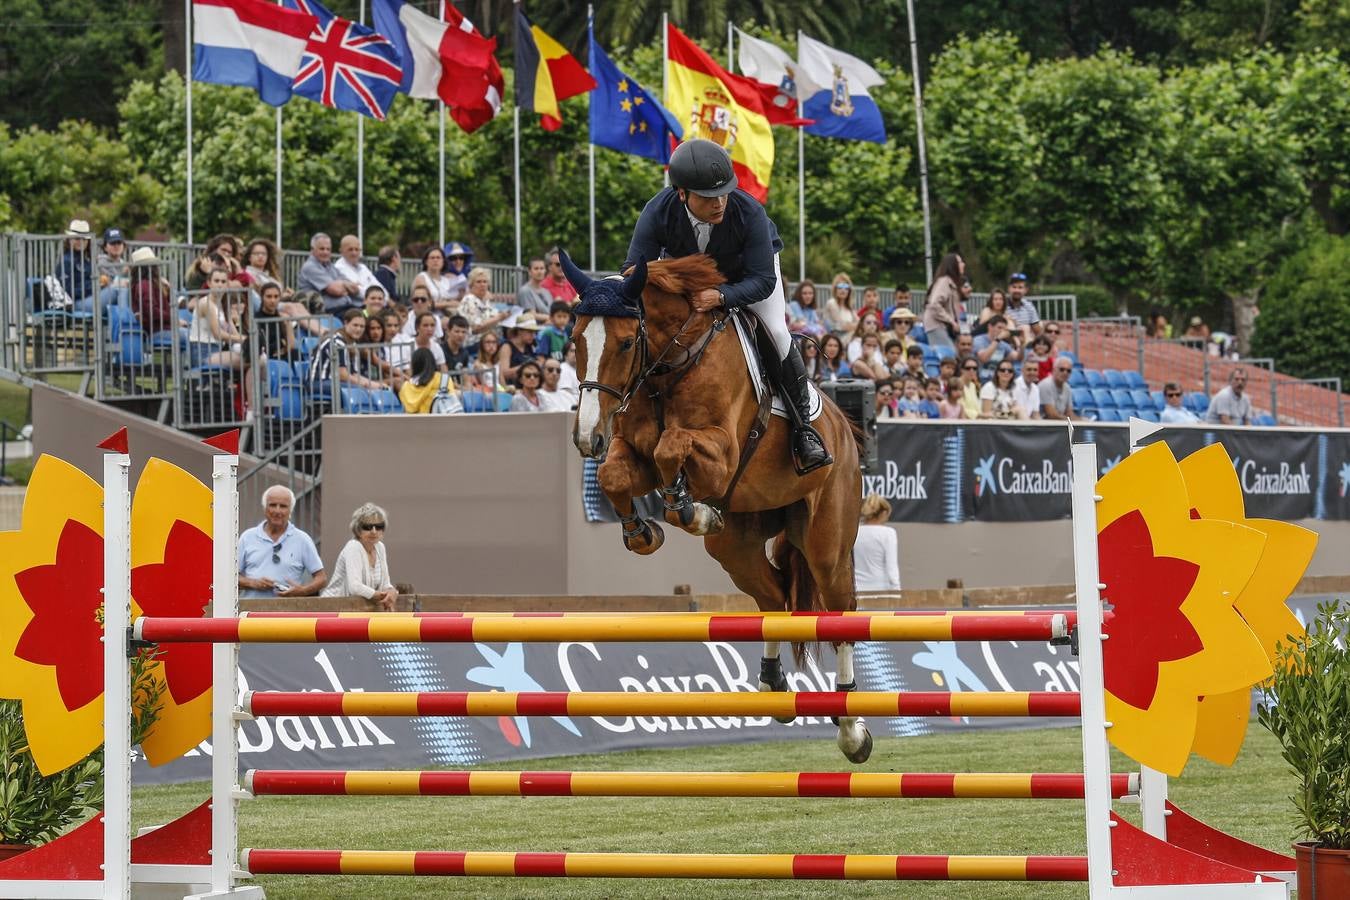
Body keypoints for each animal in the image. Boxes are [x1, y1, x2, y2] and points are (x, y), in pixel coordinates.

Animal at [558, 249, 874, 766]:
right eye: (575, 339)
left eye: (625, 343)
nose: (588, 438)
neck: (669, 365)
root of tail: (845, 428)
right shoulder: (632, 451)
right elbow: (615, 475)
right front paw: (644, 531)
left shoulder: (722, 455)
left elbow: (672, 445)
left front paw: (689, 508)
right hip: (736, 549)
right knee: (774, 597)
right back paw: (773, 687)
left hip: (827, 541)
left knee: (839, 613)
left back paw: (851, 729)